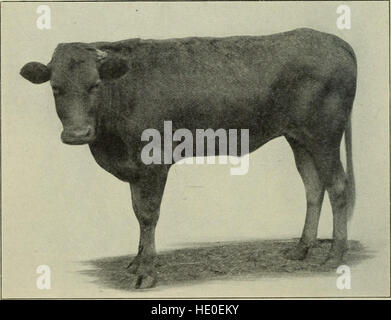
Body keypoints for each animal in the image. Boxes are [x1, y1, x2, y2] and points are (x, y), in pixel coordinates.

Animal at [21, 26, 358, 288]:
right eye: (55, 88)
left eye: (94, 85)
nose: (78, 133)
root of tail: (332, 40)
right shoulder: (134, 168)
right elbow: (136, 211)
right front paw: (136, 261)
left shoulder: (154, 162)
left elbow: (148, 214)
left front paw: (146, 272)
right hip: (299, 139)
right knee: (313, 186)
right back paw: (302, 249)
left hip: (324, 136)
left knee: (338, 187)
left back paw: (334, 256)